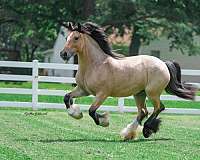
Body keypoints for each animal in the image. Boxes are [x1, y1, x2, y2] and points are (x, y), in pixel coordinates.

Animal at [59, 22, 195, 140]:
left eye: (76, 38)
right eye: (66, 37)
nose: (63, 54)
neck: (95, 65)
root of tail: (163, 63)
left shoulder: (102, 94)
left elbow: (92, 111)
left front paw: (104, 121)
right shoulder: (83, 90)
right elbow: (67, 97)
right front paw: (76, 114)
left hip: (152, 93)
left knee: (158, 108)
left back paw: (147, 130)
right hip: (139, 94)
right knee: (143, 112)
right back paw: (128, 133)